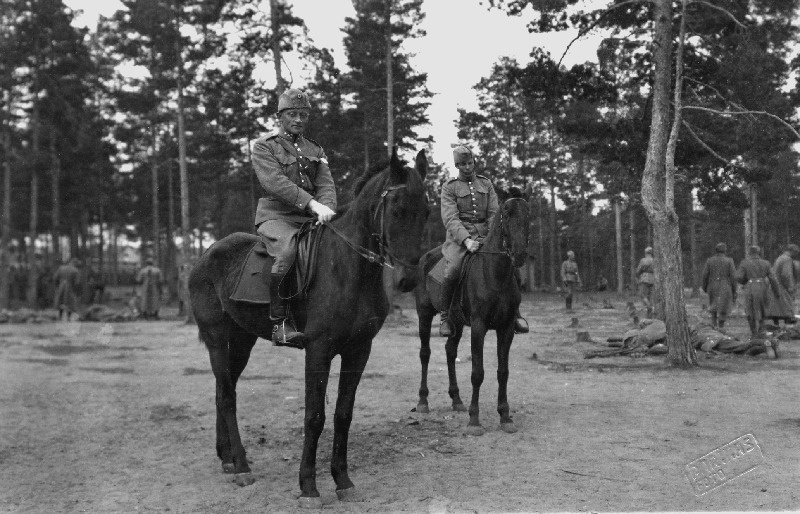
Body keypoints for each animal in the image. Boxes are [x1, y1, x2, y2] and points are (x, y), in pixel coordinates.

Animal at [189, 147, 432, 504]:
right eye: (398, 209)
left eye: (427, 212)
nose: (408, 279)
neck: (349, 268)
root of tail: (207, 255)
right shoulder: (318, 351)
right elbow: (314, 416)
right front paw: (308, 485)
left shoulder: (358, 351)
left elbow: (344, 414)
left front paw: (342, 480)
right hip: (217, 337)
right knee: (228, 397)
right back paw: (243, 466)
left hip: (243, 340)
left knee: (224, 389)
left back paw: (228, 458)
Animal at [412, 194, 532, 434]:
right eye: (506, 215)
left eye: (528, 217)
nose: (520, 254)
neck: (494, 274)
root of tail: (426, 257)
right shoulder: (478, 326)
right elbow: (477, 373)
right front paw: (474, 420)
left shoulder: (506, 328)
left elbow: (503, 372)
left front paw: (505, 416)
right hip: (424, 315)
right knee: (425, 353)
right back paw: (423, 401)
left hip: (456, 323)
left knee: (450, 351)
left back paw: (457, 400)